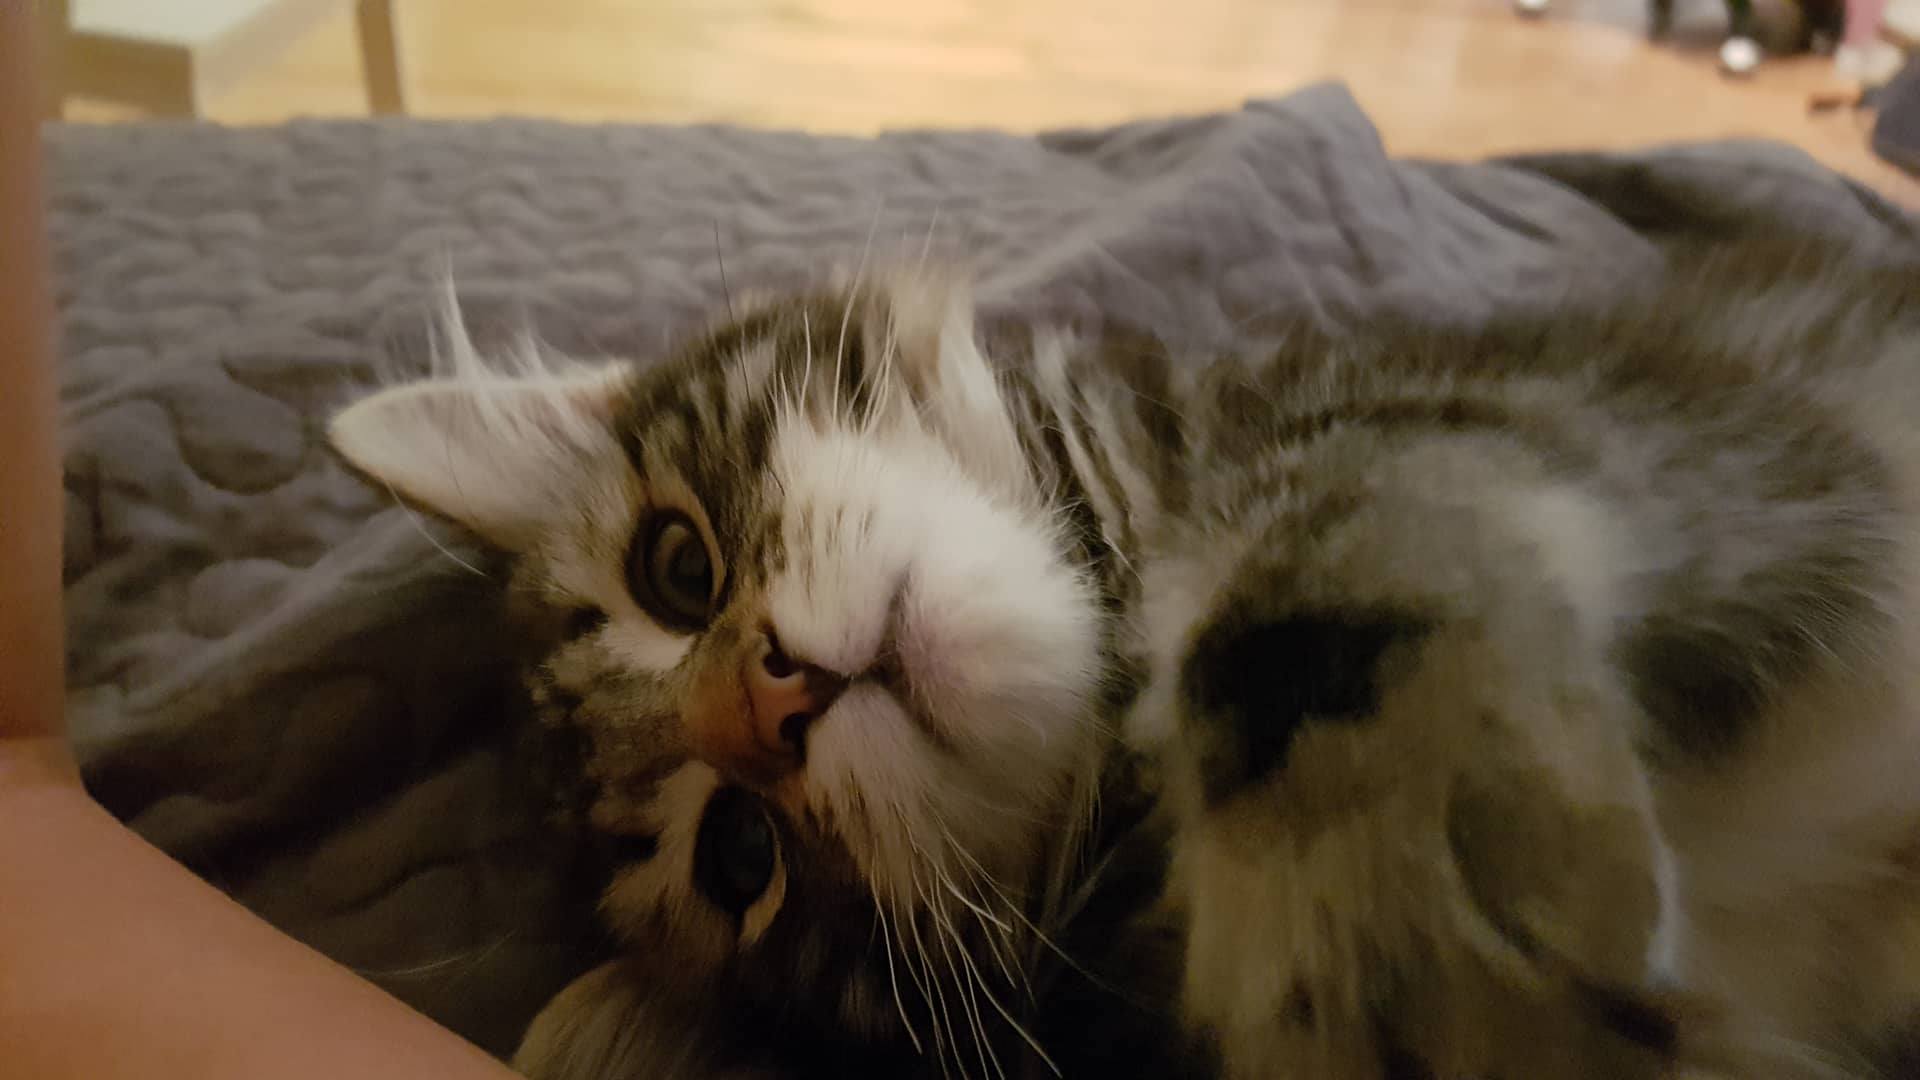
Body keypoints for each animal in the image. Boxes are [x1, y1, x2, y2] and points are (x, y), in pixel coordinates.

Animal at [329, 234, 1920, 1080]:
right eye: (739, 860)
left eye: (677, 568)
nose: (775, 699)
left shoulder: (1638, 417)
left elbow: (1311, 581)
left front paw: (1394, 904)